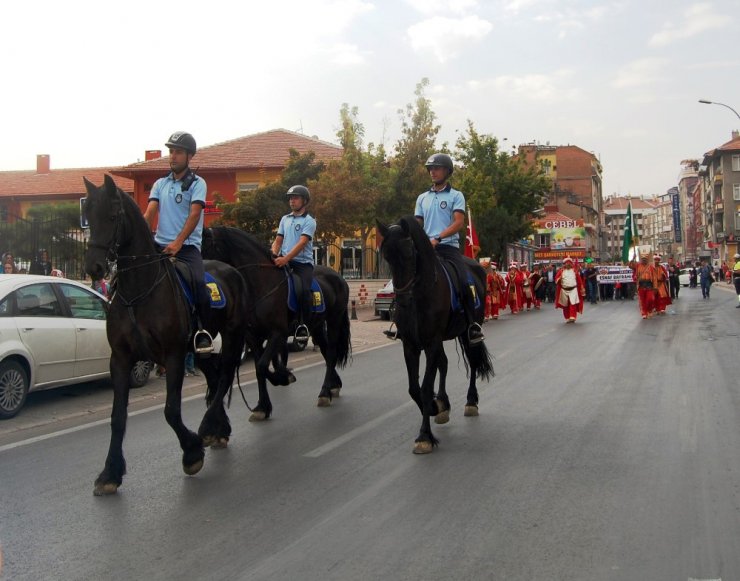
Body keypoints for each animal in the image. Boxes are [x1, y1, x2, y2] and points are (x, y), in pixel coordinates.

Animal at [83, 176, 250, 494]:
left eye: (112, 216)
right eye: (88, 216)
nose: (94, 267)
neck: (139, 291)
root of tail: (231, 270)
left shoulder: (172, 356)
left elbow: (171, 410)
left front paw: (192, 453)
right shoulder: (120, 359)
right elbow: (117, 417)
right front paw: (110, 473)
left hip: (232, 336)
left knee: (224, 377)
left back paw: (207, 428)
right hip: (201, 348)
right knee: (215, 376)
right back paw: (218, 429)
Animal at [201, 225, 352, 416]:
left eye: (206, 247)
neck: (260, 284)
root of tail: (339, 278)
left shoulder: (277, 333)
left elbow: (262, 366)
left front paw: (284, 377)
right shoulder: (253, 337)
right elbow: (259, 369)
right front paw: (262, 407)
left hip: (333, 320)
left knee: (331, 353)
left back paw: (325, 392)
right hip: (317, 325)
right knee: (325, 351)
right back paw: (333, 385)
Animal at [378, 216, 494, 454]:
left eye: (409, 253)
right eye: (387, 256)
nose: (402, 300)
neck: (420, 294)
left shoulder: (431, 342)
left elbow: (424, 388)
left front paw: (424, 436)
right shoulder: (411, 345)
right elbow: (414, 388)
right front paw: (434, 406)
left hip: (467, 333)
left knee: (473, 363)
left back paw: (470, 402)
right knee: (445, 363)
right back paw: (443, 403)